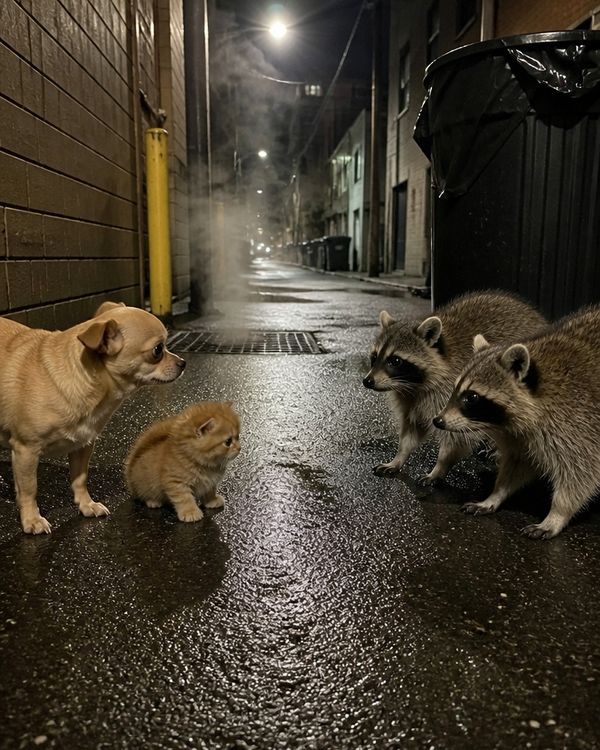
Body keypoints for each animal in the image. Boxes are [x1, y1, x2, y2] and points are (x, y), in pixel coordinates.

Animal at [363, 291, 546, 483]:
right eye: (374, 357)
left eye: (395, 361)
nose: (367, 381)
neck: (413, 386)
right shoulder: (411, 401)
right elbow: (411, 429)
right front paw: (399, 457)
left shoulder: (451, 397)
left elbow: (456, 438)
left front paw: (439, 467)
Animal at [434, 305, 600, 539]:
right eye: (455, 389)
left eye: (472, 397)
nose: (438, 420)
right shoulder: (521, 437)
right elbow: (517, 464)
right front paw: (496, 495)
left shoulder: (579, 427)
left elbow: (580, 475)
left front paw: (557, 514)